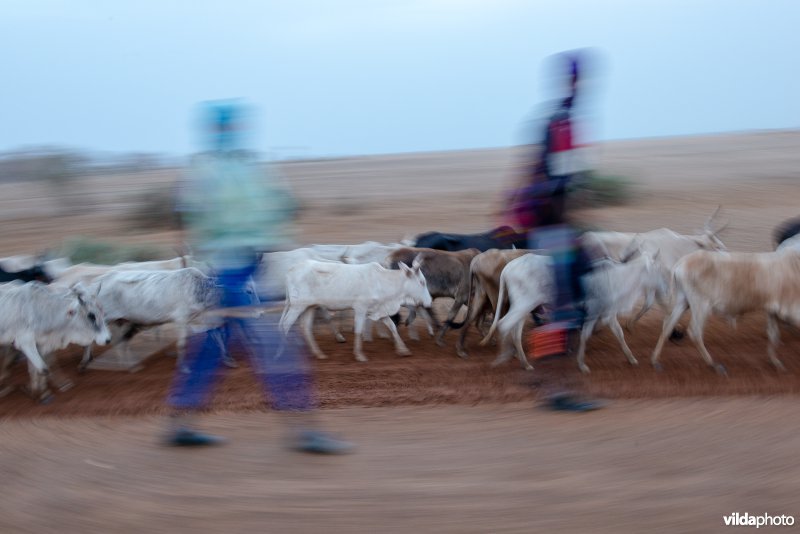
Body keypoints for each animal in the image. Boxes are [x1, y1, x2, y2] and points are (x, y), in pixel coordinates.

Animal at [280, 258, 432, 362]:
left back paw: (319, 354)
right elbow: (358, 330)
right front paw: (359, 355)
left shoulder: (379, 309)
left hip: (309, 307)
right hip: (297, 306)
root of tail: (291, 270)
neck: (382, 282)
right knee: (286, 325)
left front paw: (403, 350)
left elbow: (392, 327)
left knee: (306, 328)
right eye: (422, 282)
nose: (429, 302)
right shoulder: (360, 309)